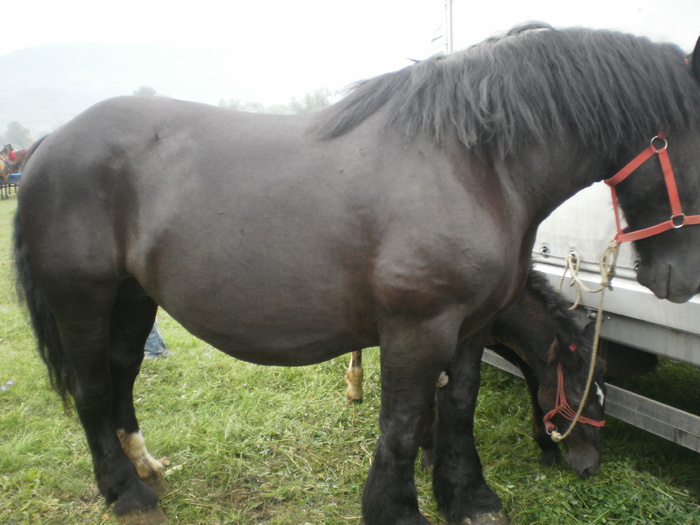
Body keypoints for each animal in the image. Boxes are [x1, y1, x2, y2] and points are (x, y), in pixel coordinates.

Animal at [348, 268, 604, 476]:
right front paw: (429, 455)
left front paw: (548, 450)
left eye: (603, 398)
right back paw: (354, 387)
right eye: (576, 400)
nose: (591, 466)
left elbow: (534, 380)